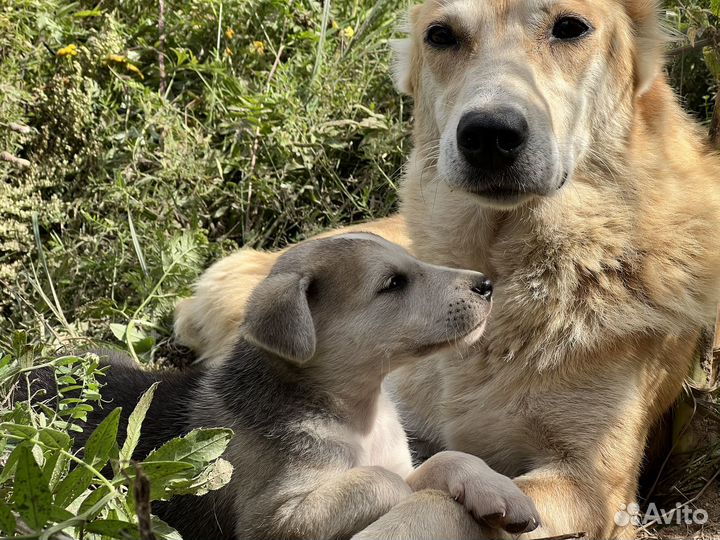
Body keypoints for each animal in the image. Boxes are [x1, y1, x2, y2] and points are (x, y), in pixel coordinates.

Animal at [22, 234, 540, 540]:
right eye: (393, 283)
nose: (487, 285)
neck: (357, 413)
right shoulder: (275, 521)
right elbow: (385, 483)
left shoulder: (398, 459)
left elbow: (445, 459)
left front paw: (499, 491)